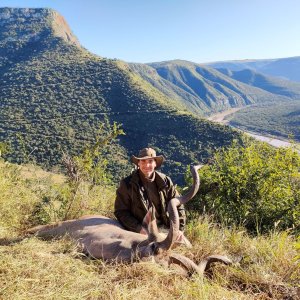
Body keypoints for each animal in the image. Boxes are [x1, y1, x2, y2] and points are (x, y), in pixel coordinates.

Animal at [27, 165, 230, 276]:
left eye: (164, 264)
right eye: (154, 248)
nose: (147, 262)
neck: (127, 246)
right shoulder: (81, 242)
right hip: (59, 226)